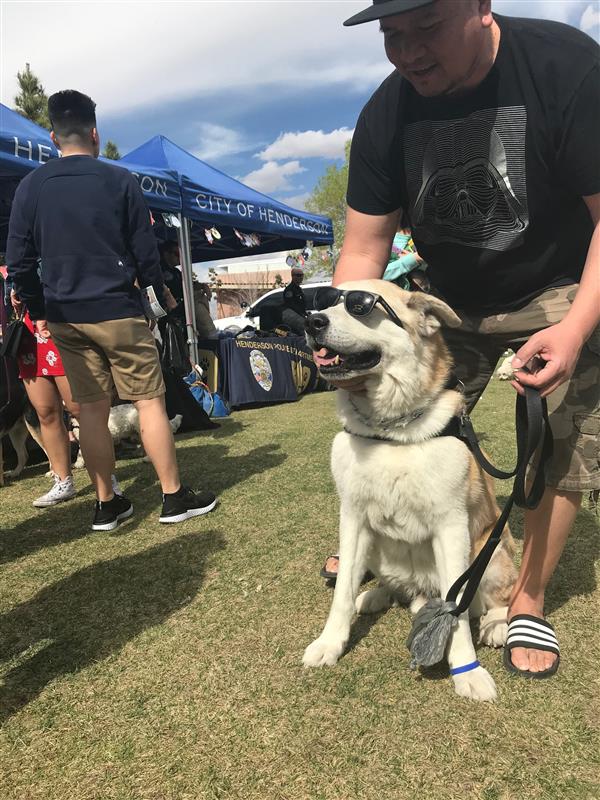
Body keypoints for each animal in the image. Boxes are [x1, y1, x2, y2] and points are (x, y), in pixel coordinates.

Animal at [302, 280, 516, 700]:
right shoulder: (352, 518)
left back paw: (497, 625)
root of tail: (421, 591)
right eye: (326, 300)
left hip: (492, 547)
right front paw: (330, 643)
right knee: (386, 585)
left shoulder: (451, 526)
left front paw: (467, 671)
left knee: (496, 597)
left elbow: (457, 608)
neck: (391, 433)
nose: (311, 320)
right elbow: (341, 591)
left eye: (361, 306)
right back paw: (373, 595)